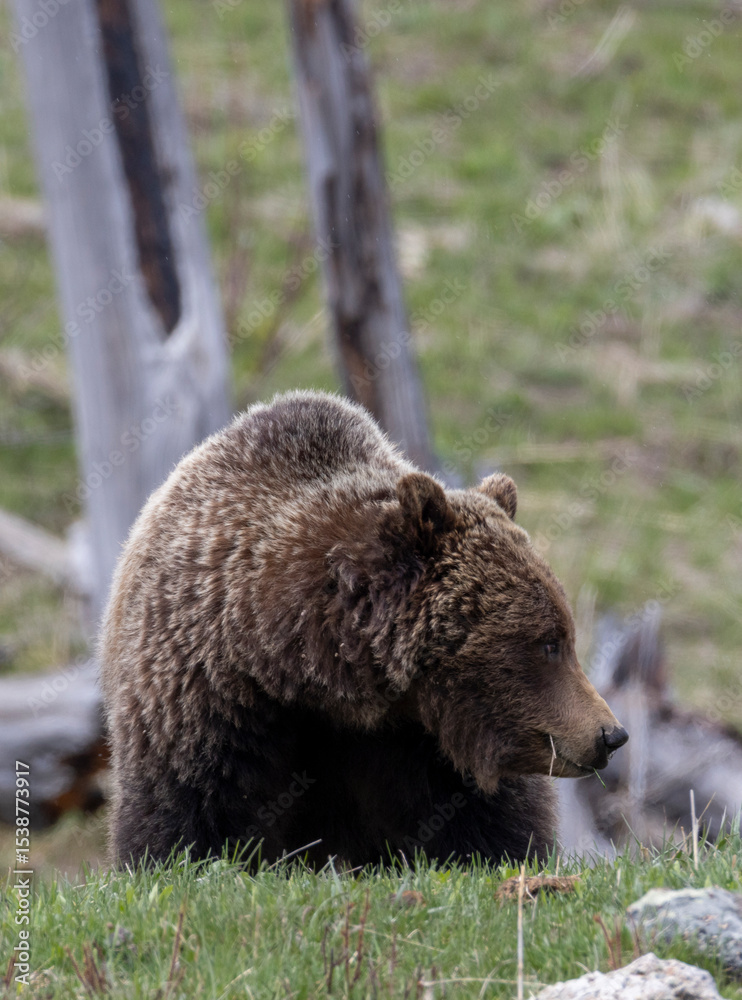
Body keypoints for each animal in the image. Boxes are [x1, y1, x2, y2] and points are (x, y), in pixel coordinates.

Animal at [100, 390, 628, 867]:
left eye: (564, 636)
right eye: (549, 643)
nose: (610, 734)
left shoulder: (423, 744)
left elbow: (491, 824)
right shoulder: (206, 695)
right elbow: (187, 815)